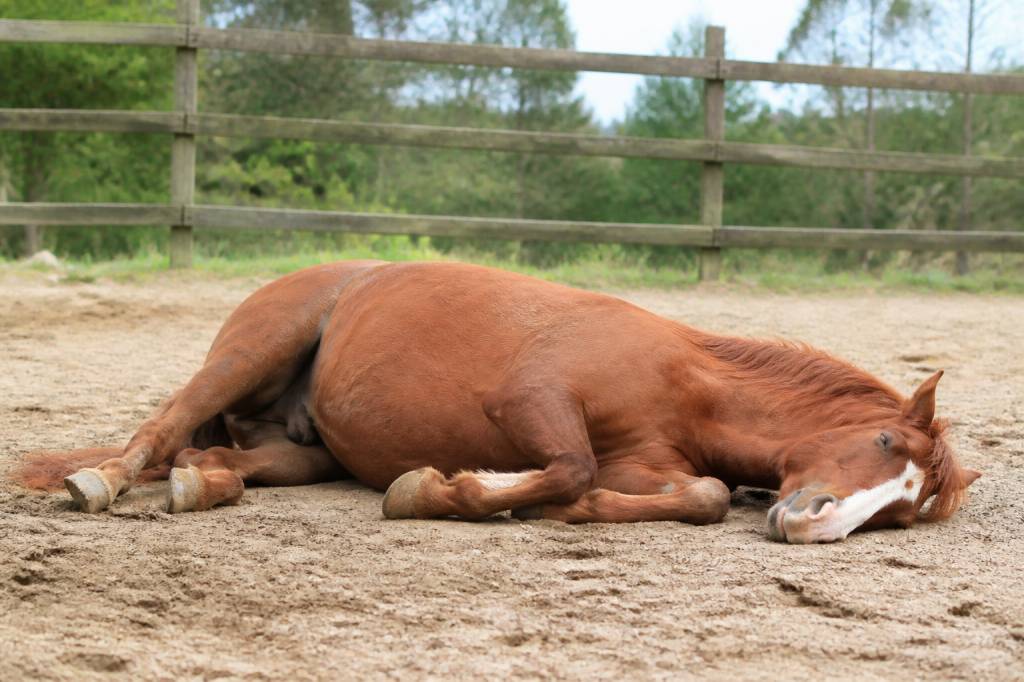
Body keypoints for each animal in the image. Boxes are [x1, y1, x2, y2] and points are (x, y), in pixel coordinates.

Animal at [13, 260, 979, 543]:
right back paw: (103, 481)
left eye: (904, 511)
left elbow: (700, 496)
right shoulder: (531, 399)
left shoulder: (663, 466)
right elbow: (571, 464)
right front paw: (439, 491)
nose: (815, 525)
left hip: (301, 450)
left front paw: (563, 508)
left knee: (212, 458)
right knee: (159, 429)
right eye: (887, 442)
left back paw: (201, 484)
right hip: (249, 351)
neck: (685, 386)